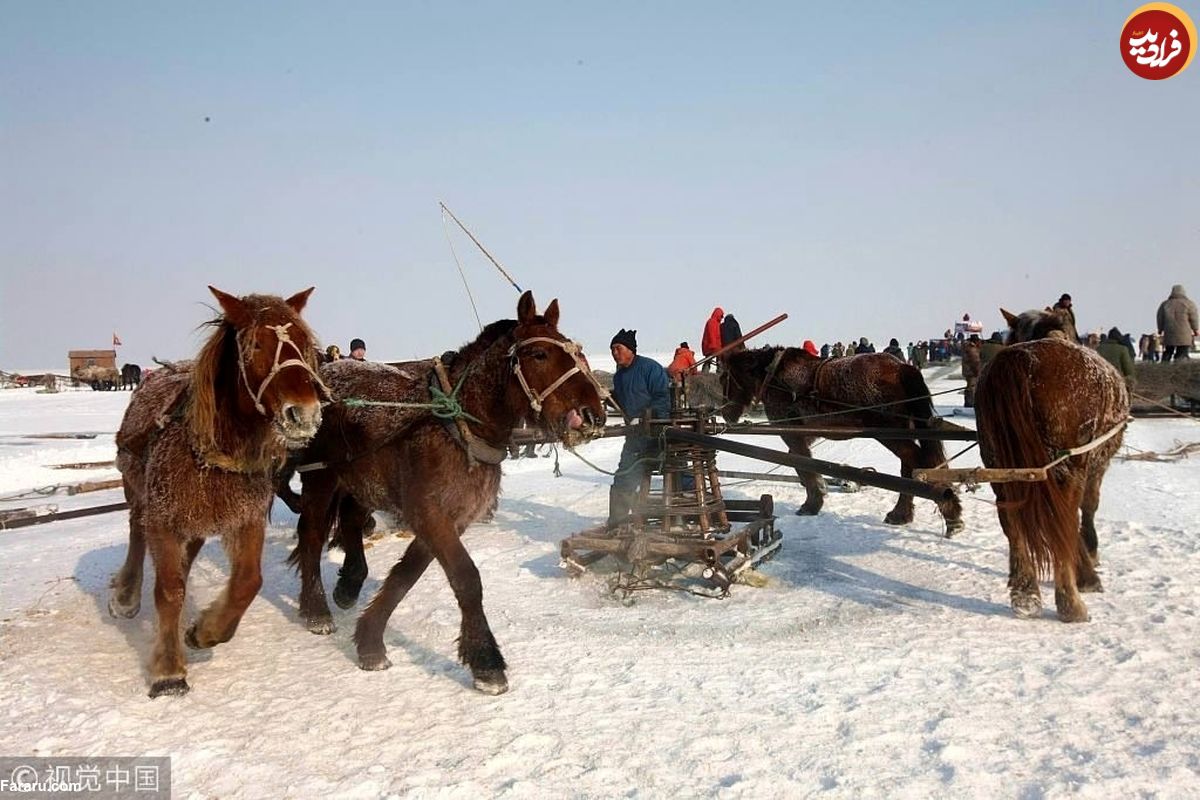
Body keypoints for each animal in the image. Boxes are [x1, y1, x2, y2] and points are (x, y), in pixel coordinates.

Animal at [108, 287, 328, 695]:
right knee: (136, 531)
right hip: (138, 491)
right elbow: (168, 590)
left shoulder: (246, 518)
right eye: (256, 344)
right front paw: (168, 669)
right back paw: (127, 594)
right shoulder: (163, 518)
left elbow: (248, 582)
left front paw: (206, 630)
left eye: (304, 345)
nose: (304, 415)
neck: (214, 453)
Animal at [291, 292, 609, 695]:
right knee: (312, 534)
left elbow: (405, 576)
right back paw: (315, 609)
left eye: (577, 351)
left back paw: (349, 582)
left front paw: (370, 640)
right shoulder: (429, 515)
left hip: (360, 480)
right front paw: (486, 661)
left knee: (349, 521)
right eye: (539, 354)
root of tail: (324, 375)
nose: (592, 415)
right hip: (321, 477)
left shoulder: (449, 520)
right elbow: (466, 578)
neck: (458, 428)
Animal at [720, 347, 964, 534]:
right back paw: (904, 514)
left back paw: (940, 510)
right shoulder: (806, 434)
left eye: (723, 378)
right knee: (910, 465)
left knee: (915, 460)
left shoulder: (791, 433)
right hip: (904, 429)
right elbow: (801, 464)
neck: (773, 376)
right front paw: (818, 493)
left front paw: (812, 503)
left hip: (889, 432)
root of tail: (903, 368)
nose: (725, 413)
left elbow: (803, 466)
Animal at [974, 309, 1123, 623]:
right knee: (1064, 521)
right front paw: (1089, 567)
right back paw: (1070, 603)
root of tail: (1020, 361)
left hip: (1001, 469)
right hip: (1067, 467)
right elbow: (1087, 509)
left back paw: (1025, 592)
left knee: (1012, 521)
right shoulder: (1094, 465)